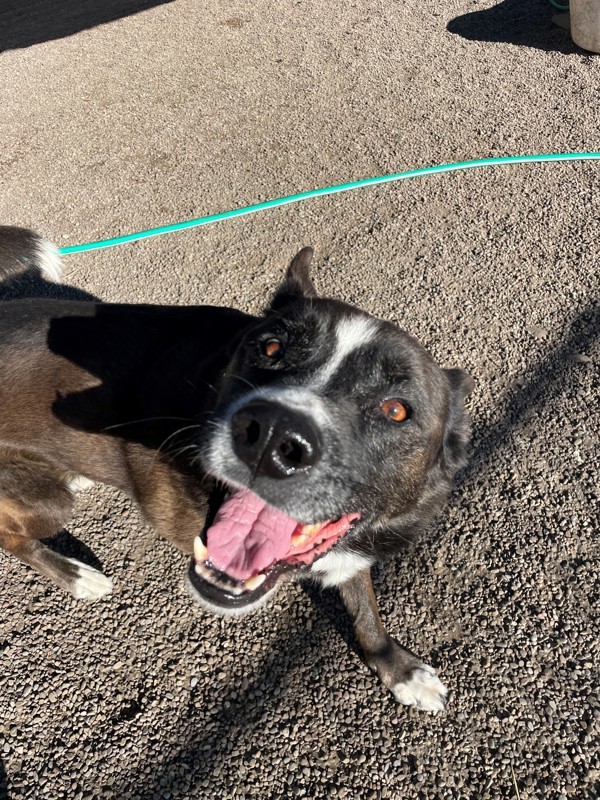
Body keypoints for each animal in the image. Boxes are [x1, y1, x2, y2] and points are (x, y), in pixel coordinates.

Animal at [0, 225, 474, 712]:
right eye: (271, 347)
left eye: (396, 410)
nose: (272, 436)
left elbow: (365, 607)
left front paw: (398, 668)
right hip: (48, 502)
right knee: (10, 536)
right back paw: (76, 576)